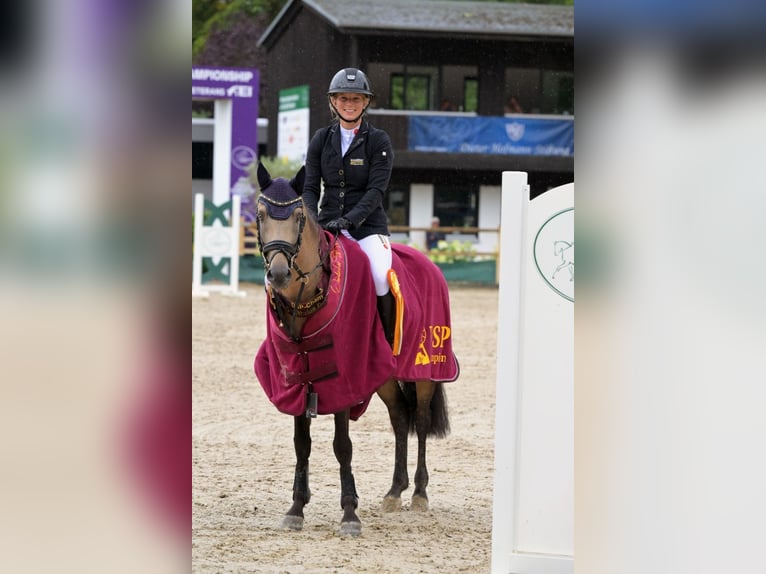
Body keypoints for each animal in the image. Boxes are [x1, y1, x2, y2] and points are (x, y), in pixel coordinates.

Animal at [254, 163, 462, 540]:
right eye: (261, 215)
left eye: (297, 217)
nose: (277, 274)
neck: (309, 296)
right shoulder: (297, 378)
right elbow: (301, 443)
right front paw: (296, 508)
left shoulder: (345, 379)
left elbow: (342, 445)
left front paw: (350, 513)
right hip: (383, 375)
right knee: (399, 417)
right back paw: (395, 491)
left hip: (425, 368)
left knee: (421, 420)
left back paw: (419, 493)